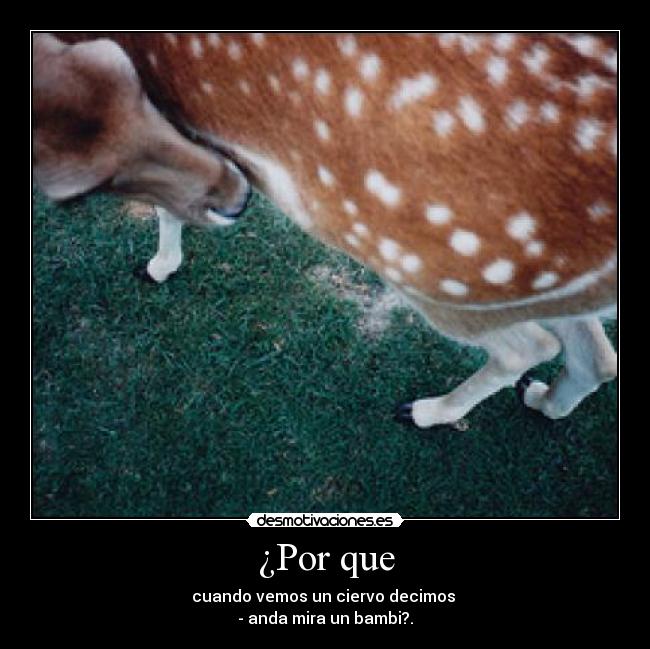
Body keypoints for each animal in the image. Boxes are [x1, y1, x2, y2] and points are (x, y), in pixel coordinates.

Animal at [32, 32, 618, 430]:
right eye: (114, 66)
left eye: (75, 193)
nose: (240, 196)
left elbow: (170, 204)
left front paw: (157, 266)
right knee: (598, 356)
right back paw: (541, 399)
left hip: (438, 275)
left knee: (528, 346)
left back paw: (424, 411)